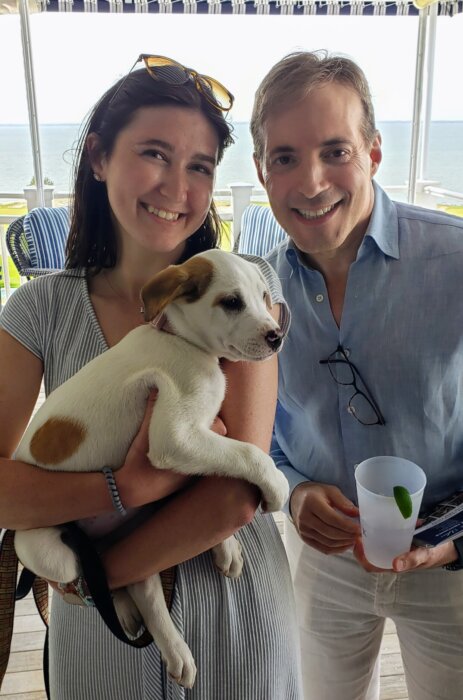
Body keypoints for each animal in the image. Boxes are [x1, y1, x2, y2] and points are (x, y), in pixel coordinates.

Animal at [14, 250, 288, 688]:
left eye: (265, 297)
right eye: (231, 302)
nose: (277, 336)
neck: (180, 339)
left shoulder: (198, 437)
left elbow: (212, 468)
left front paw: (225, 546)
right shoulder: (174, 438)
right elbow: (247, 454)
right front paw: (276, 486)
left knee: (140, 582)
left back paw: (172, 649)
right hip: (51, 553)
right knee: (99, 574)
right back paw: (131, 615)